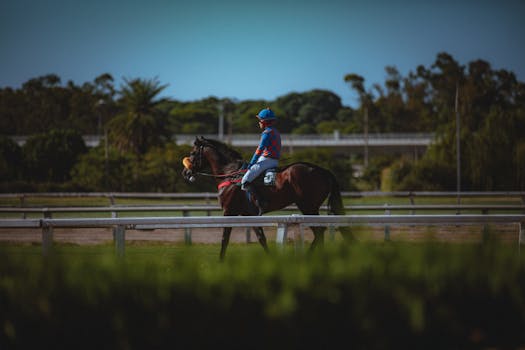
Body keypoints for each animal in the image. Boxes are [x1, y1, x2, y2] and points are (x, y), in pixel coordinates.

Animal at [181, 137, 352, 260]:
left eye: (193, 153)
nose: (185, 172)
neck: (230, 173)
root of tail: (323, 170)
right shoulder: (249, 214)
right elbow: (261, 237)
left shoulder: (229, 212)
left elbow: (225, 238)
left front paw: (220, 261)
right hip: (309, 207)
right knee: (319, 232)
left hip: (308, 206)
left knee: (319, 231)